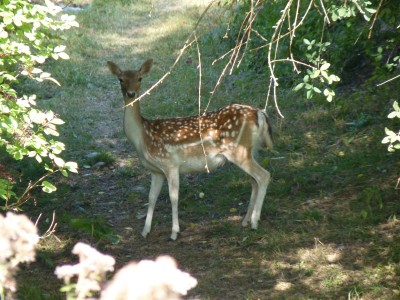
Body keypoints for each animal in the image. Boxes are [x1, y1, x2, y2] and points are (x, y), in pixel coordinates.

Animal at [108, 59, 274, 241]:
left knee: (264, 176)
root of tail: (260, 113)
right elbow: (151, 198)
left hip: (238, 151)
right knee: (254, 180)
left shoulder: (170, 164)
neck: (142, 137)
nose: (131, 94)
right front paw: (145, 231)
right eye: (120, 79)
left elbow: (173, 197)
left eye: (139, 78)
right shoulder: (156, 171)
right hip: (250, 151)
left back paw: (254, 222)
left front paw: (174, 232)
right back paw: (245, 220)